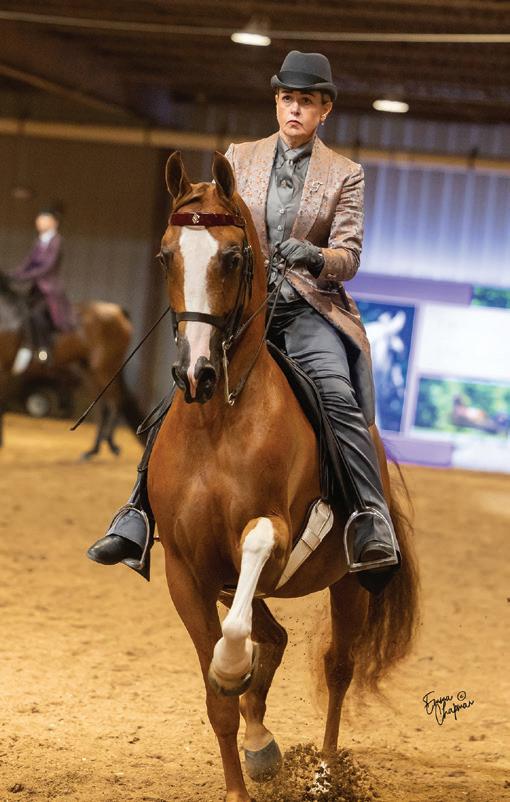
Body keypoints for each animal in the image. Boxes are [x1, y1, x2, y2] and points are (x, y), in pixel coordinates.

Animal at [0, 271, 143, 458]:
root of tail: (118, 311)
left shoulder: (3, 369)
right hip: (90, 371)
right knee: (103, 406)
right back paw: (93, 450)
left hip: (105, 368)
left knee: (114, 402)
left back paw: (110, 445)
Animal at [147, 151, 419, 802]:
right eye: (167, 255)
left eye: (232, 256)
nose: (195, 371)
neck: (217, 421)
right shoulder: (185, 571)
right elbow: (219, 698)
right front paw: (240, 778)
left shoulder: (271, 532)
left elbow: (252, 563)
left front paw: (230, 668)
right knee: (272, 639)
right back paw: (262, 746)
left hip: (350, 586)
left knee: (336, 667)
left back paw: (323, 774)